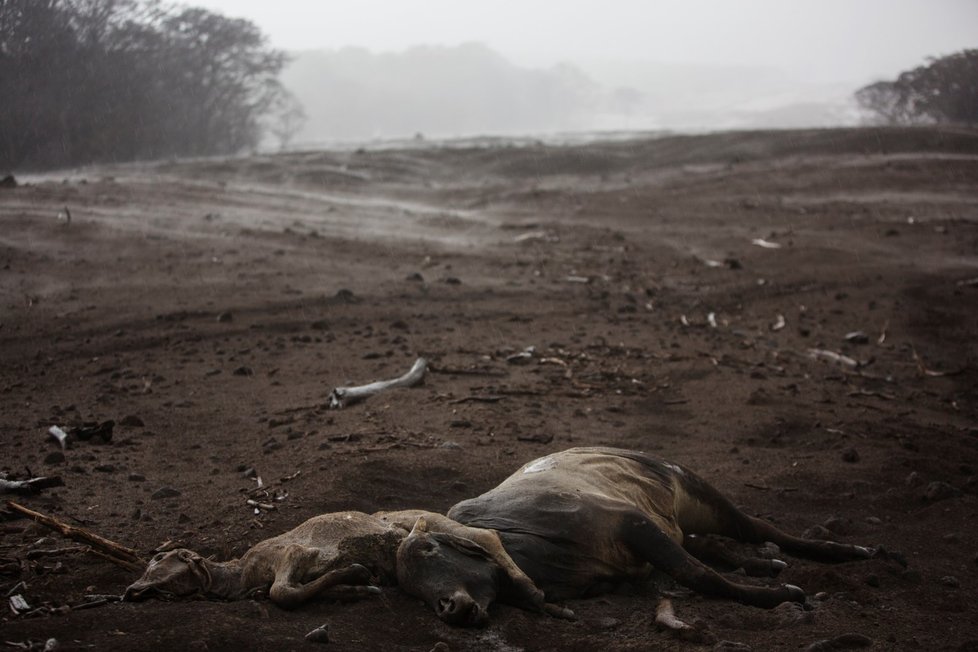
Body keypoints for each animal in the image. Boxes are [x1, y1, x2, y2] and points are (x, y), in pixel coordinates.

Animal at [396, 446, 884, 624]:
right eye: (410, 587)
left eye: (429, 549)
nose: (446, 606)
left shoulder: (631, 523)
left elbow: (700, 576)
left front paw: (779, 595)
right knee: (710, 544)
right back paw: (764, 563)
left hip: (698, 492)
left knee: (756, 527)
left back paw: (844, 550)